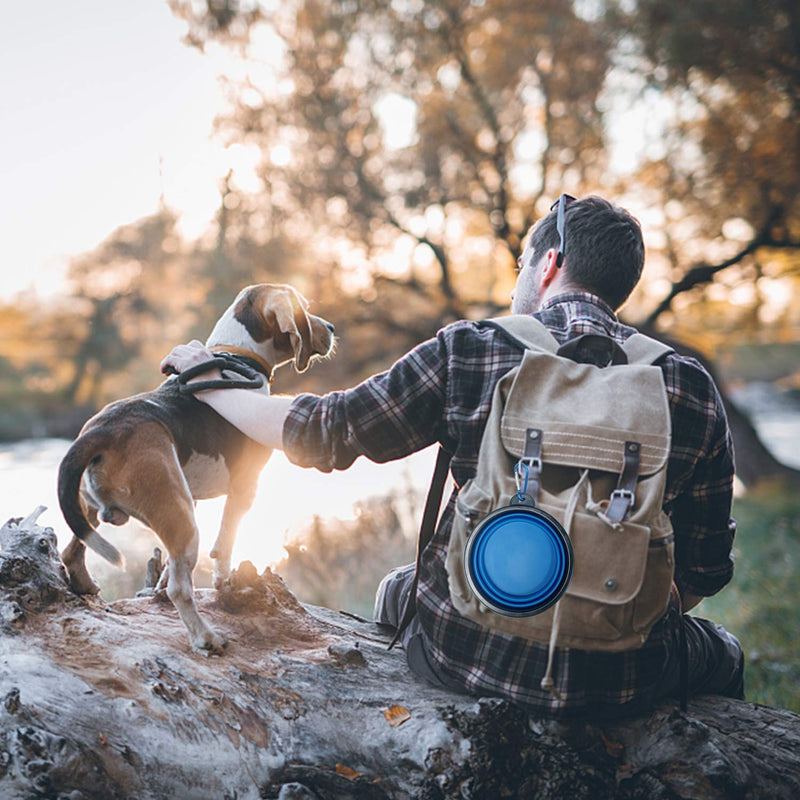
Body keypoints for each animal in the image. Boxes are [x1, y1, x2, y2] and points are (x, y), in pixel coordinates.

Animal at [57, 284, 334, 652]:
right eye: (304, 307)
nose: (331, 328)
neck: (236, 355)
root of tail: (101, 431)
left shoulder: (193, 499)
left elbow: (169, 569)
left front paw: (160, 586)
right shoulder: (245, 486)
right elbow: (225, 543)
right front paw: (223, 581)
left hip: (112, 510)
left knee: (73, 552)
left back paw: (85, 586)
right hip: (183, 520)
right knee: (181, 590)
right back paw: (205, 637)